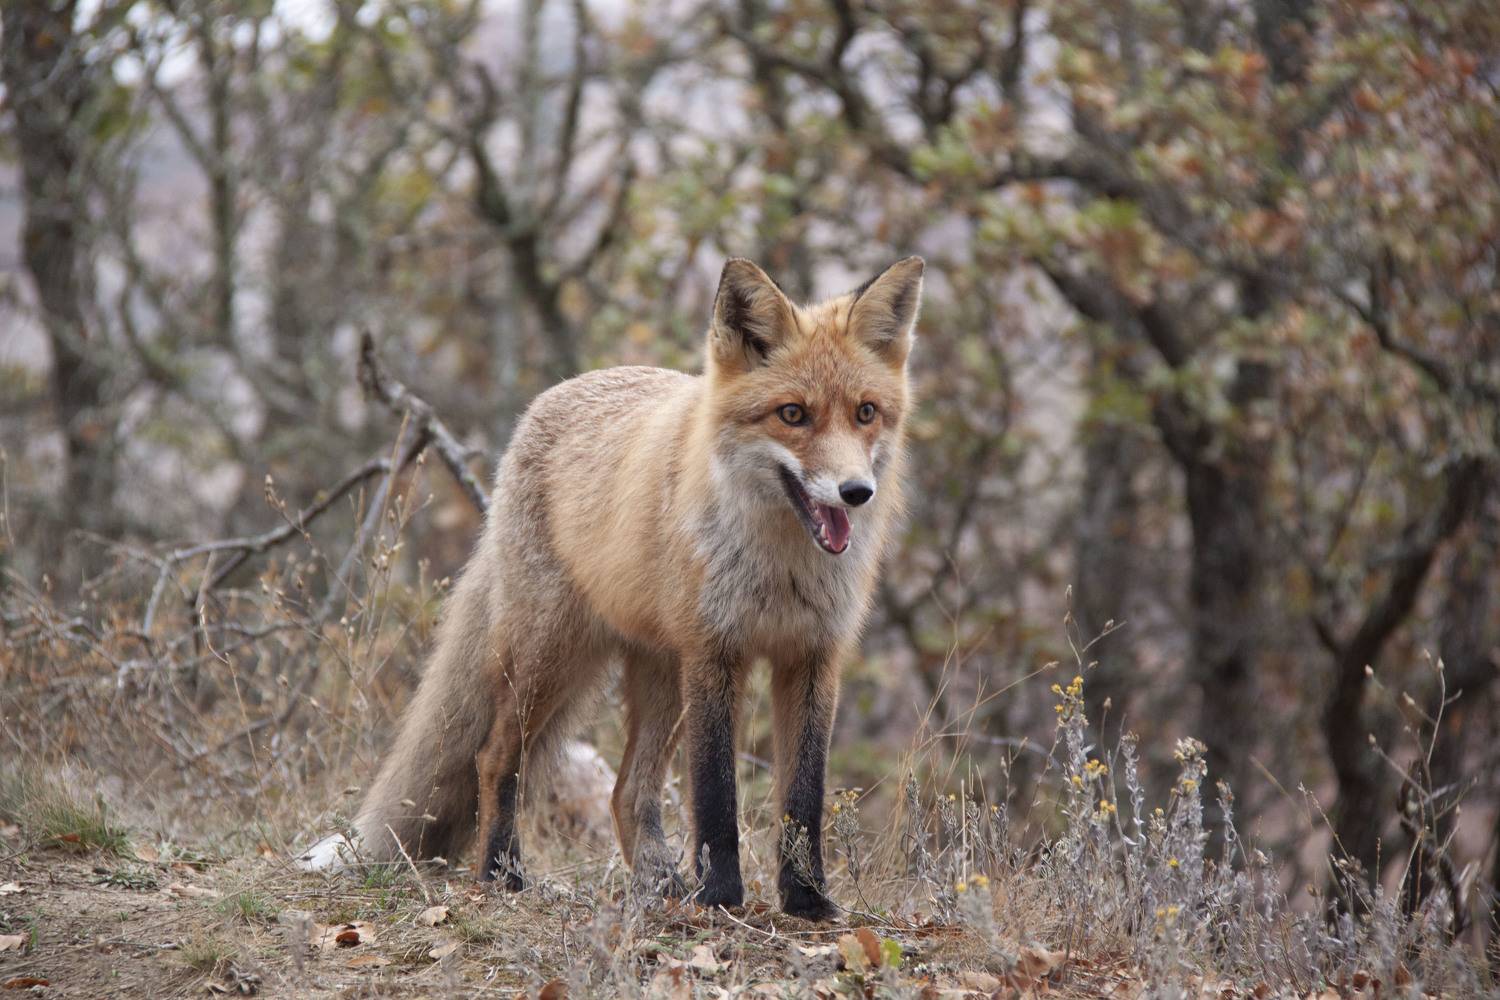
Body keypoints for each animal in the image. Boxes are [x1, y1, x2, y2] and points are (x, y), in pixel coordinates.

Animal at [317, 255, 923, 919]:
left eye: (866, 412)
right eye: (793, 414)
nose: (855, 491)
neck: (781, 567)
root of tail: (550, 397)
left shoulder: (813, 656)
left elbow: (804, 798)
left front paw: (807, 899)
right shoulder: (714, 652)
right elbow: (716, 797)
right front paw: (721, 897)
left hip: (658, 675)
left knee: (625, 792)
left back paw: (657, 886)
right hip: (551, 656)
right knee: (495, 757)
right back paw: (503, 872)